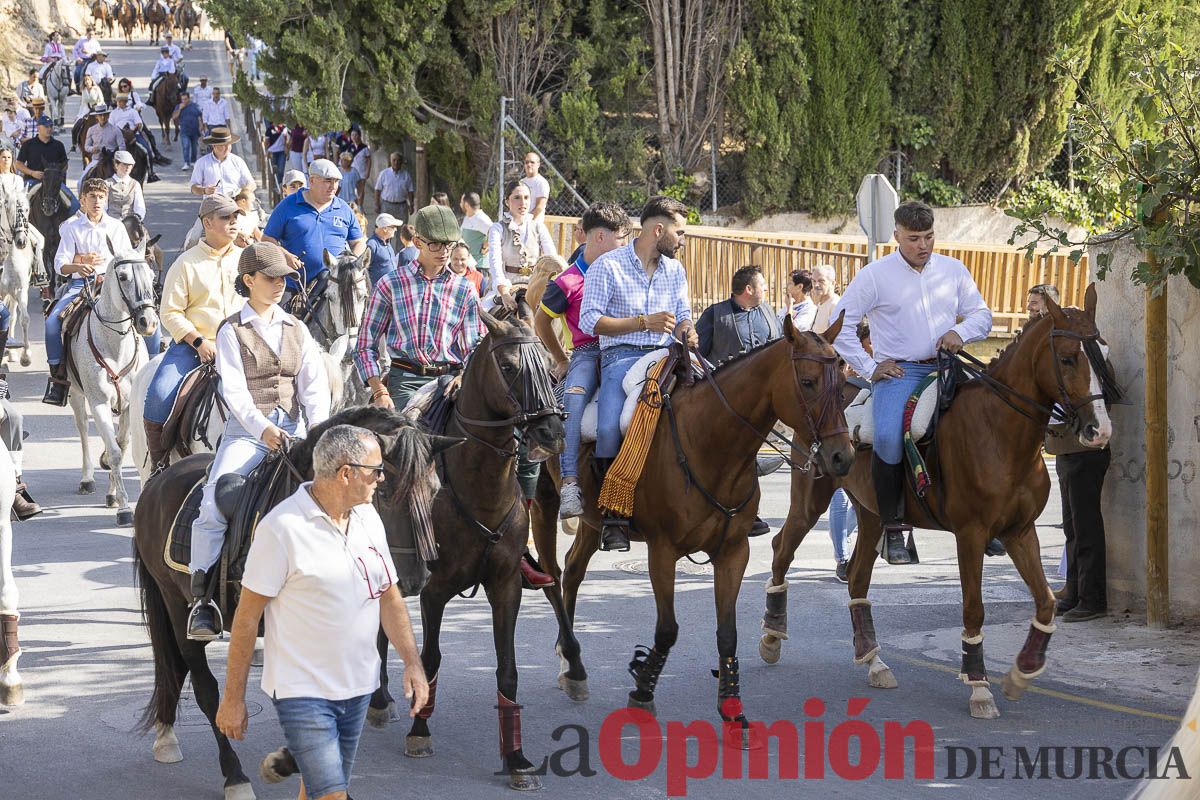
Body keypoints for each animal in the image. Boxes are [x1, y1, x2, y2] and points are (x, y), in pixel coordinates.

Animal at [27, 163, 73, 291]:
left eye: (59, 180)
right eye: (44, 178)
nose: (48, 206)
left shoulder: (58, 236)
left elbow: (56, 254)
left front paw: (59, 280)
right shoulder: (46, 235)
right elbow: (48, 255)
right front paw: (51, 282)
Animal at [66, 249, 160, 526]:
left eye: (151, 276)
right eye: (123, 276)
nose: (148, 322)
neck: (114, 346)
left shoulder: (127, 405)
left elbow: (121, 444)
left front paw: (113, 494)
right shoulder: (98, 403)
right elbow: (116, 452)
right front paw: (124, 508)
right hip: (75, 393)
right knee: (82, 428)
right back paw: (86, 478)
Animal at [369, 301, 565, 790]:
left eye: (547, 363)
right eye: (510, 366)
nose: (551, 432)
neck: (478, 486)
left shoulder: (505, 585)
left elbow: (508, 669)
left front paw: (516, 758)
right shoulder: (436, 590)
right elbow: (430, 658)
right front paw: (420, 731)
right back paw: (380, 700)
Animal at [528, 315, 854, 736]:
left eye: (843, 380)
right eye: (810, 382)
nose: (842, 456)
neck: (710, 443)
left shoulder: (733, 551)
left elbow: (728, 633)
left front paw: (731, 707)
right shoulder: (662, 551)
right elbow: (667, 628)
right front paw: (642, 690)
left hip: (591, 521)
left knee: (573, 571)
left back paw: (571, 667)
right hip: (543, 503)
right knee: (552, 575)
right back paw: (571, 660)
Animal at [759, 286, 1113, 720]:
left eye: (1103, 352)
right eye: (1067, 358)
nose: (1100, 430)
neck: (1000, 433)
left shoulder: (1019, 531)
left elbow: (1046, 602)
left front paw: (1022, 671)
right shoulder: (971, 535)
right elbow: (974, 608)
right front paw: (978, 686)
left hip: (871, 514)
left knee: (857, 578)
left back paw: (874, 659)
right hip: (812, 500)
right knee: (782, 549)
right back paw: (772, 636)